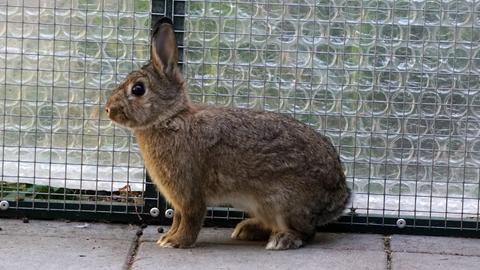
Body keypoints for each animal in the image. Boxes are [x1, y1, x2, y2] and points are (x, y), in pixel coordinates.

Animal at [106, 17, 348, 251]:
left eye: (138, 89)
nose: (108, 110)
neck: (169, 118)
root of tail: (339, 196)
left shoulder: (189, 190)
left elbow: (190, 217)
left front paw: (177, 242)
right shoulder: (178, 197)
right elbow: (177, 218)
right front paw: (167, 237)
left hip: (284, 203)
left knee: (307, 232)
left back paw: (282, 240)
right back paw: (246, 230)